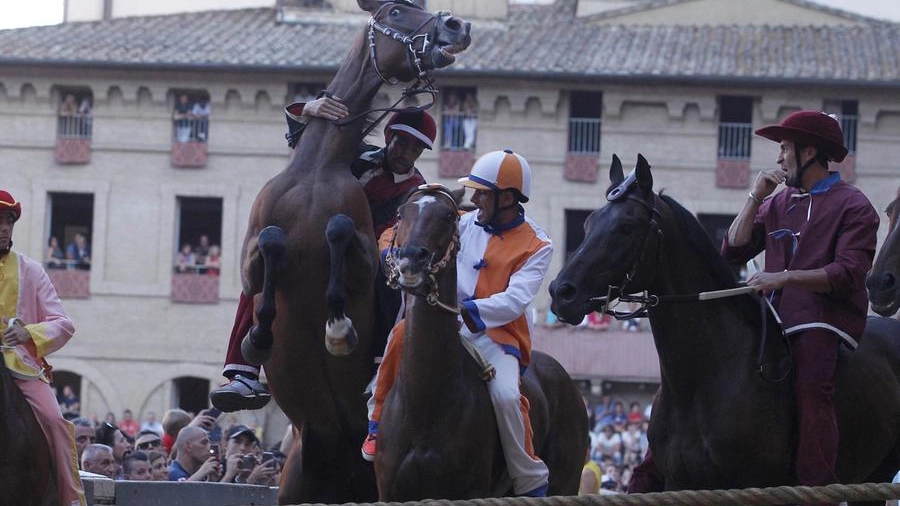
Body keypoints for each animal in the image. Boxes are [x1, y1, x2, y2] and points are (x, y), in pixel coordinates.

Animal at [236, 1, 472, 504]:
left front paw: (339, 327)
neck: (317, 168)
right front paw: (259, 336)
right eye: (396, 10)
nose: (456, 25)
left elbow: (340, 230)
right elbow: (270, 244)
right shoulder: (251, 259)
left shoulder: (365, 263)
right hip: (297, 483)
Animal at [378, 185, 596, 498]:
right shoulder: (390, 489)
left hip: (565, 480)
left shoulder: (471, 489)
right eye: (400, 214)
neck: (426, 403)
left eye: (448, 216)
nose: (410, 259)